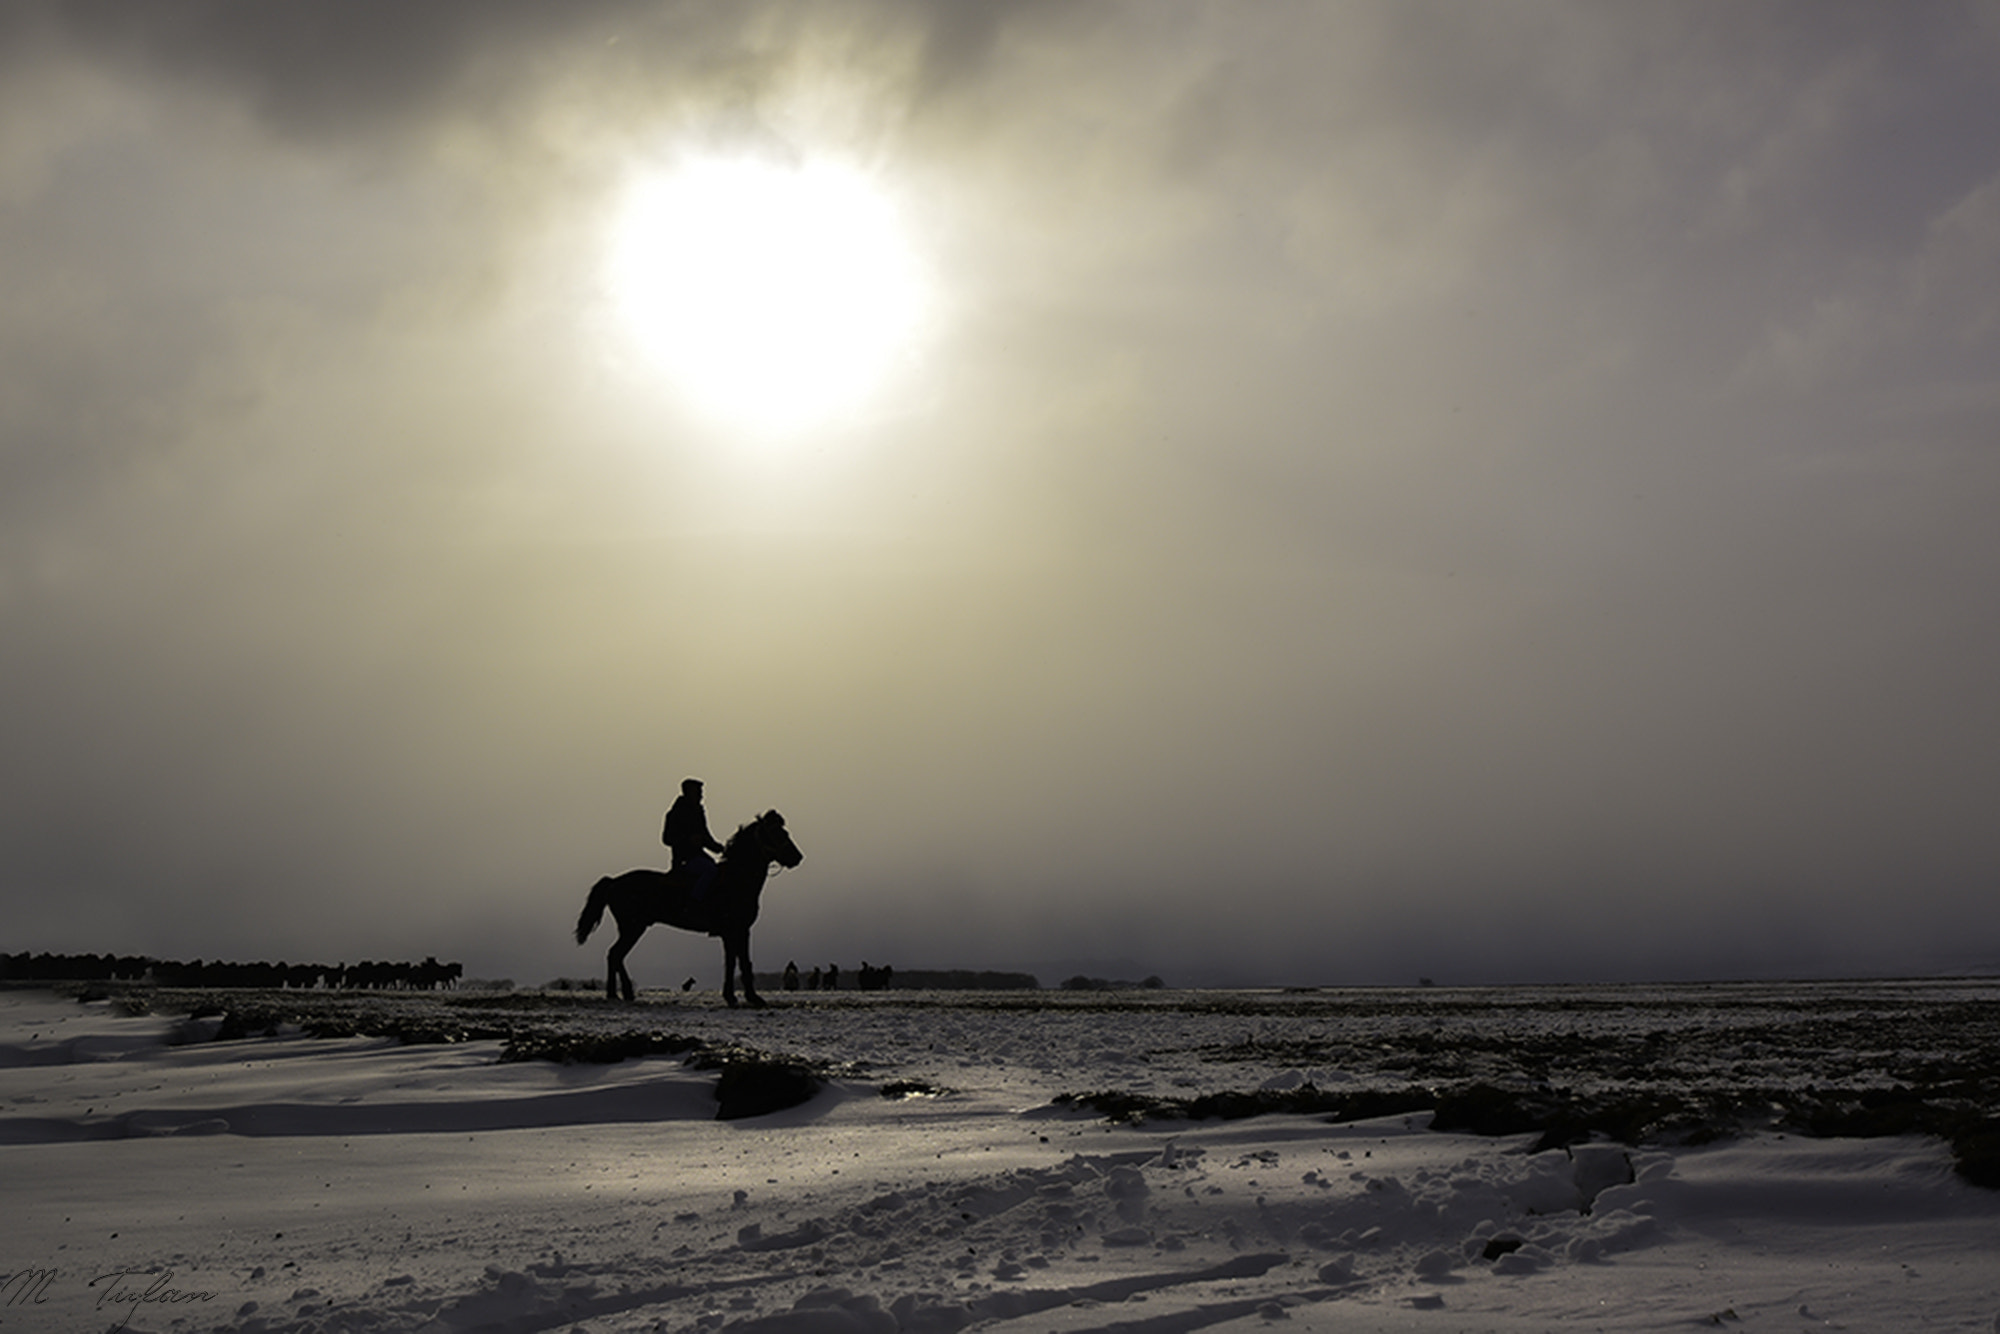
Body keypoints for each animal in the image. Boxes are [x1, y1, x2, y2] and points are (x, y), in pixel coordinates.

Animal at [574, 809, 803, 1006]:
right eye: (776, 833)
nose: (798, 857)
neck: (736, 878)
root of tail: (614, 881)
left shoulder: (740, 931)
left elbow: (740, 962)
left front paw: (746, 997)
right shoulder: (732, 931)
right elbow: (735, 963)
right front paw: (738, 997)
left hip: (633, 928)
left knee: (616, 955)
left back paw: (621, 993)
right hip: (633, 927)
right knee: (615, 954)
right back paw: (618, 993)